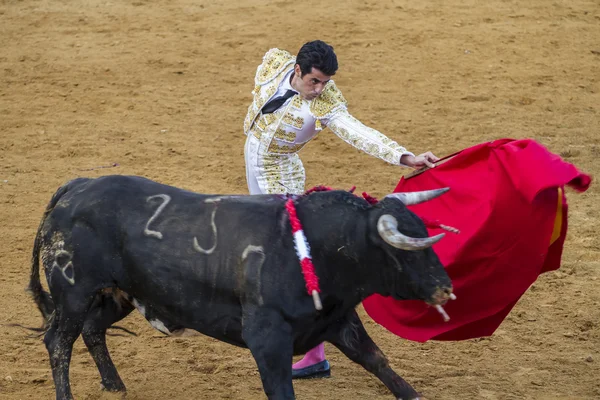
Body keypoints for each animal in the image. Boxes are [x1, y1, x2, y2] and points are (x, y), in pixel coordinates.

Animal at [27, 176, 450, 400]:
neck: (314, 246)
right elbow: (281, 389)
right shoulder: (267, 338)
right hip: (74, 294)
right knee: (59, 342)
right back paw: (68, 395)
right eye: (404, 252)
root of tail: (79, 186)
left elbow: (376, 360)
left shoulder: (339, 319)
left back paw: (115, 385)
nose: (446, 288)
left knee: (93, 330)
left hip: (119, 294)